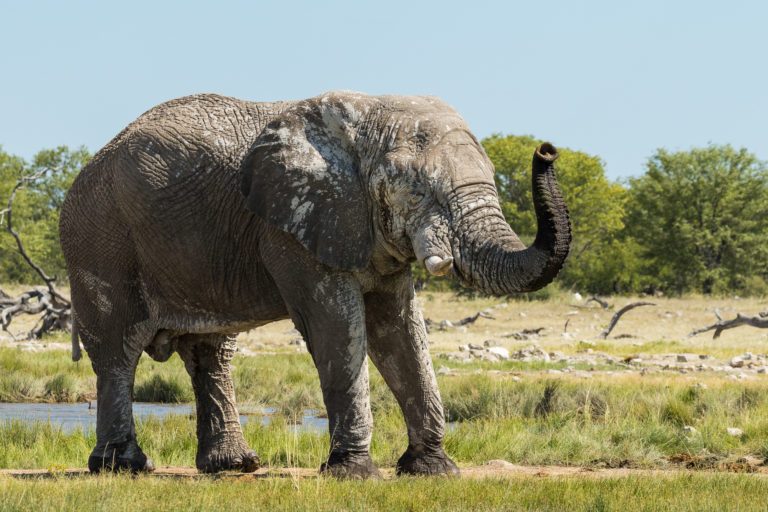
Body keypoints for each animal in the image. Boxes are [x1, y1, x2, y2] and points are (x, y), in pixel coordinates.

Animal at [58, 90, 568, 478]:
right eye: (417, 188)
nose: (547, 150)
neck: (365, 120)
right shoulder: (291, 226)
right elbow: (336, 326)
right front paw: (355, 474)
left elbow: (400, 330)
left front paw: (433, 470)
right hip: (99, 239)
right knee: (118, 350)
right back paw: (122, 467)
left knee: (211, 352)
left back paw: (233, 466)